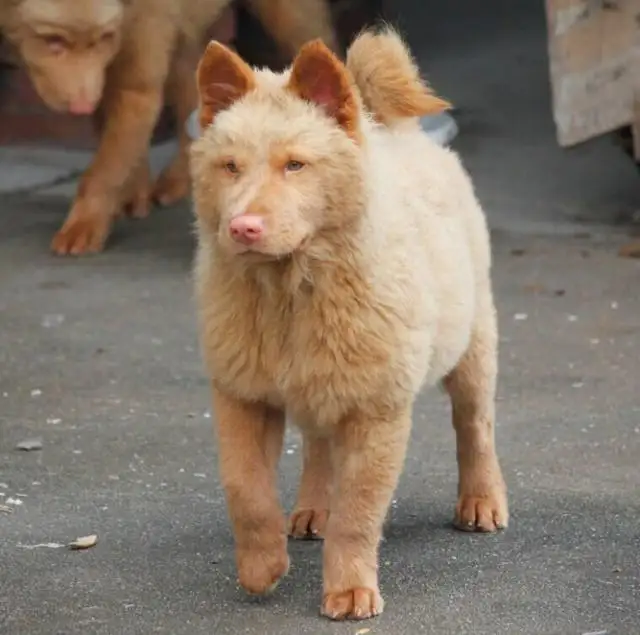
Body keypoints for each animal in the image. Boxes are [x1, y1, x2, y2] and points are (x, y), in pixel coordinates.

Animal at [0, 0, 338, 253]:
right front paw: (132, 193)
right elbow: (117, 138)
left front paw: (84, 224)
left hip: (286, 15)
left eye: (104, 37)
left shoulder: (137, 54)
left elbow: (108, 163)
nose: (82, 105)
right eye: (52, 40)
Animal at [190, 28, 510, 620]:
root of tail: (397, 132)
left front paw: (351, 591)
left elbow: (359, 513)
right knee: (318, 447)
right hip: (321, 380)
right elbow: (245, 488)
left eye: (295, 166)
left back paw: (481, 501)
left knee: (475, 425)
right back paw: (313, 509)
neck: (290, 291)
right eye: (229, 167)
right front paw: (262, 566)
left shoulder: (376, 410)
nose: (242, 227)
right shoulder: (242, 393)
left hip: (473, 342)